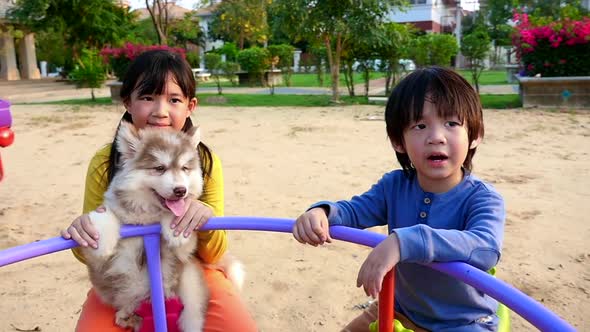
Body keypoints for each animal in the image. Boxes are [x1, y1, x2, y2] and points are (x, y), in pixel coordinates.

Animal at [81, 122, 210, 332]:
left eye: (185, 168)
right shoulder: (99, 264)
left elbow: (179, 223)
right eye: (159, 168)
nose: (181, 191)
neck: (146, 218)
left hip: (190, 291)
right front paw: (101, 238)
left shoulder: (184, 254)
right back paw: (126, 316)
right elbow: (106, 214)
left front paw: (176, 227)